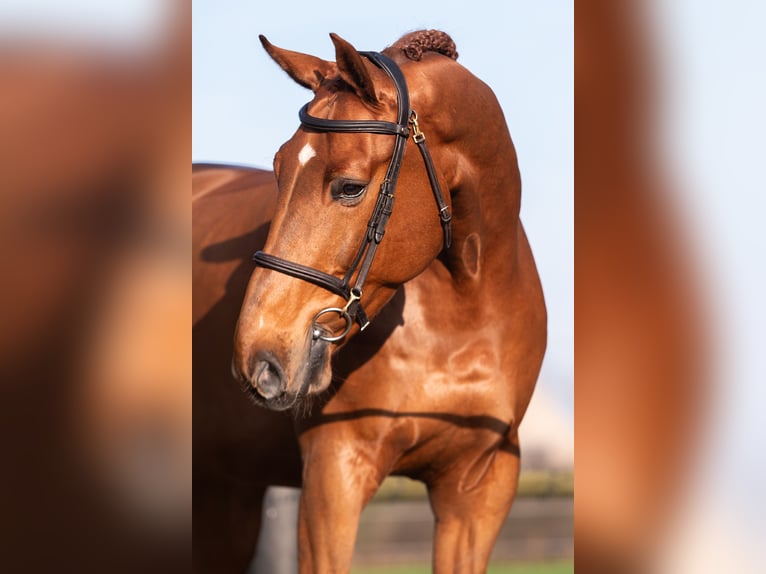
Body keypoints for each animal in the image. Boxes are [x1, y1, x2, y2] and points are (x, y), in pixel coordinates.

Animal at [193, 30, 547, 573]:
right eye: (276, 170)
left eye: (350, 187)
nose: (259, 359)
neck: (463, 316)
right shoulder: (334, 473)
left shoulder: (479, 489)